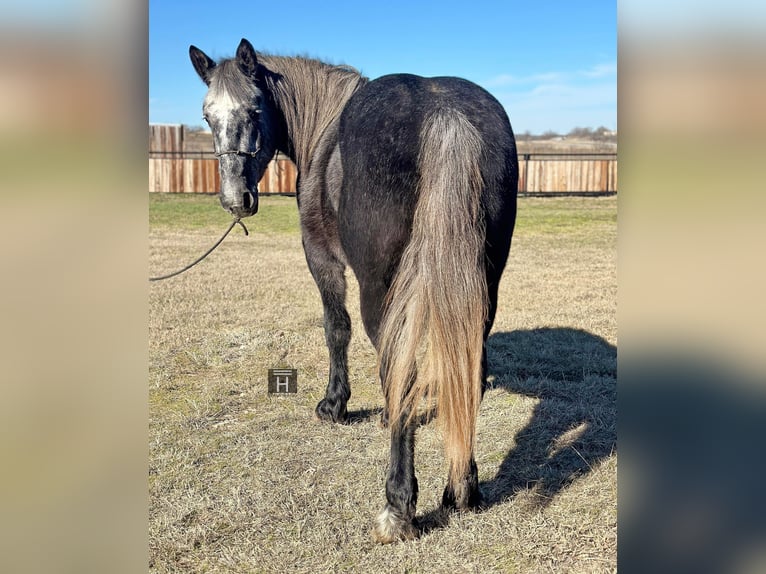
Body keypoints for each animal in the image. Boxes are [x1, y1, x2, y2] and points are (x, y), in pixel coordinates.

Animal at [189, 37, 520, 544]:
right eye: (207, 116)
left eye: (255, 107)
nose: (234, 199)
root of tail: (444, 113)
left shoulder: (322, 258)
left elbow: (337, 329)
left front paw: (335, 404)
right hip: (484, 286)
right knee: (470, 367)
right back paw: (461, 489)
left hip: (380, 288)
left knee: (400, 366)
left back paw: (398, 508)